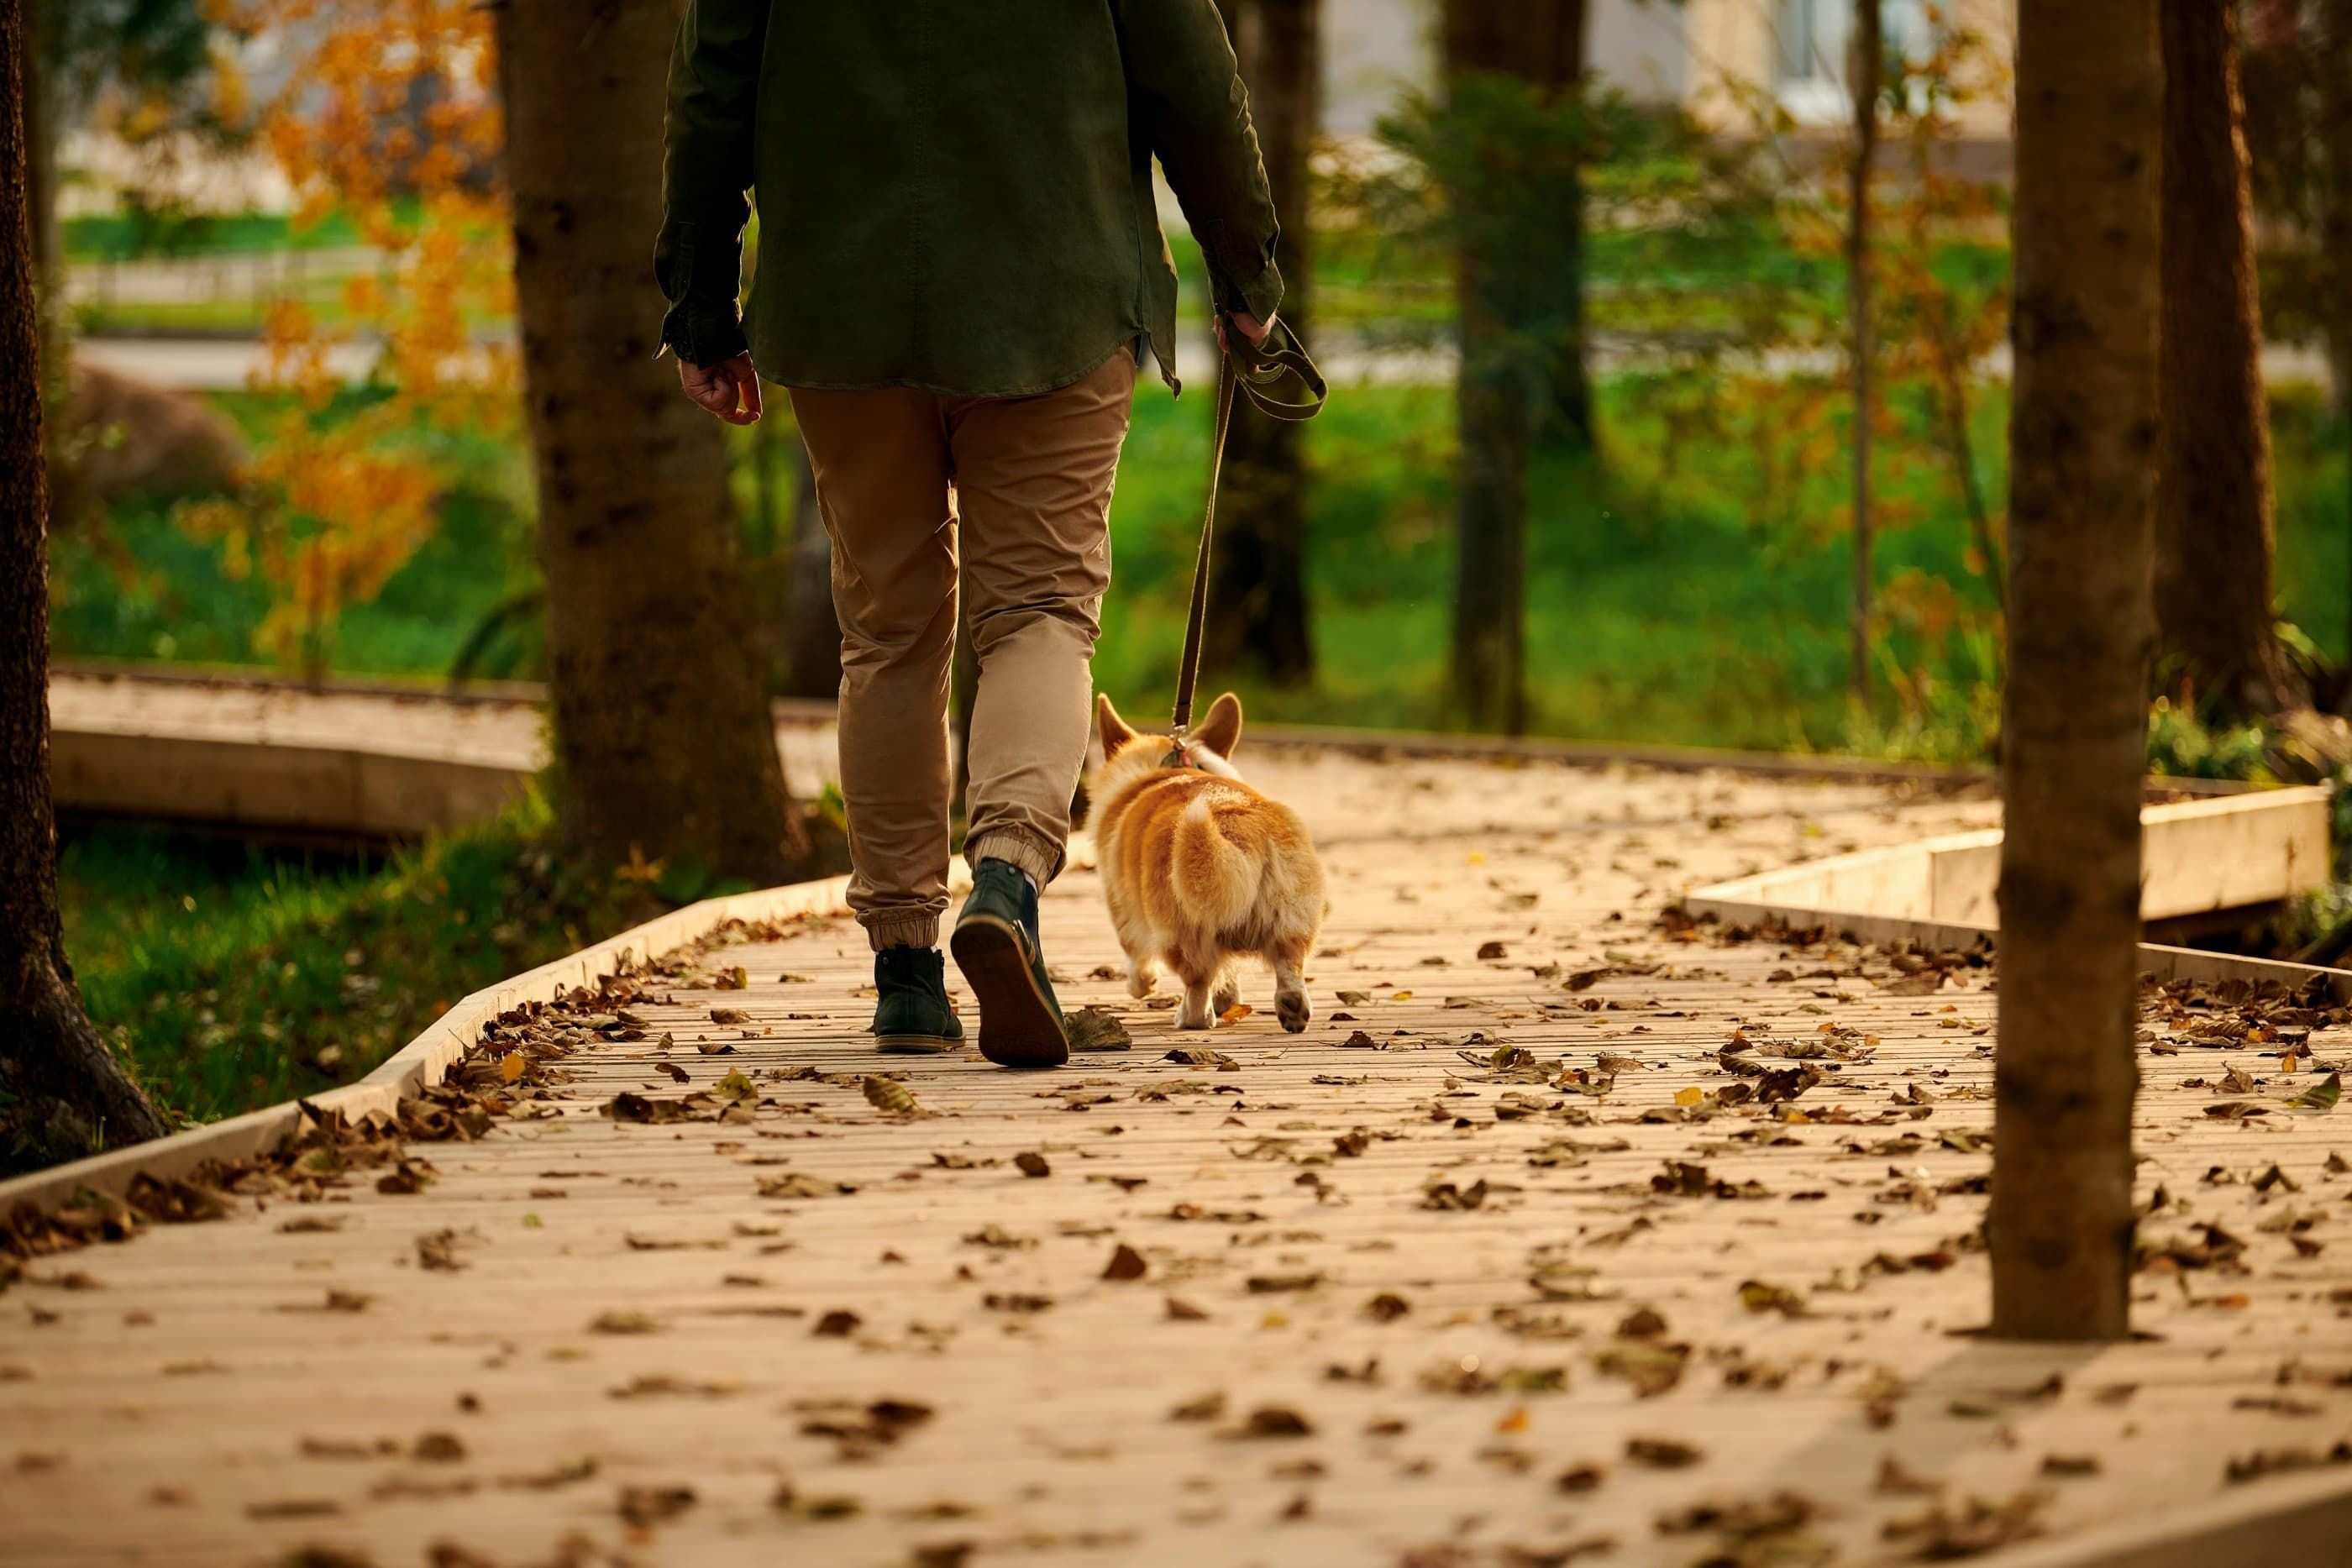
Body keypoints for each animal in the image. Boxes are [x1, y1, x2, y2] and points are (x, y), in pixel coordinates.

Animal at [1086, 690, 1326, 1034]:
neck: (1167, 767)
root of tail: (1235, 821)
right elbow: (1230, 976)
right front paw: (1229, 1000)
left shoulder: (1124, 912)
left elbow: (1138, 961)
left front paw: (1141, 986)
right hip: (1293, 919)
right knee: (1289, 965)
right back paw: (1292, 1008)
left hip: (1181, 933)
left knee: (1198, 983)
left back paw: (1188, 1018)